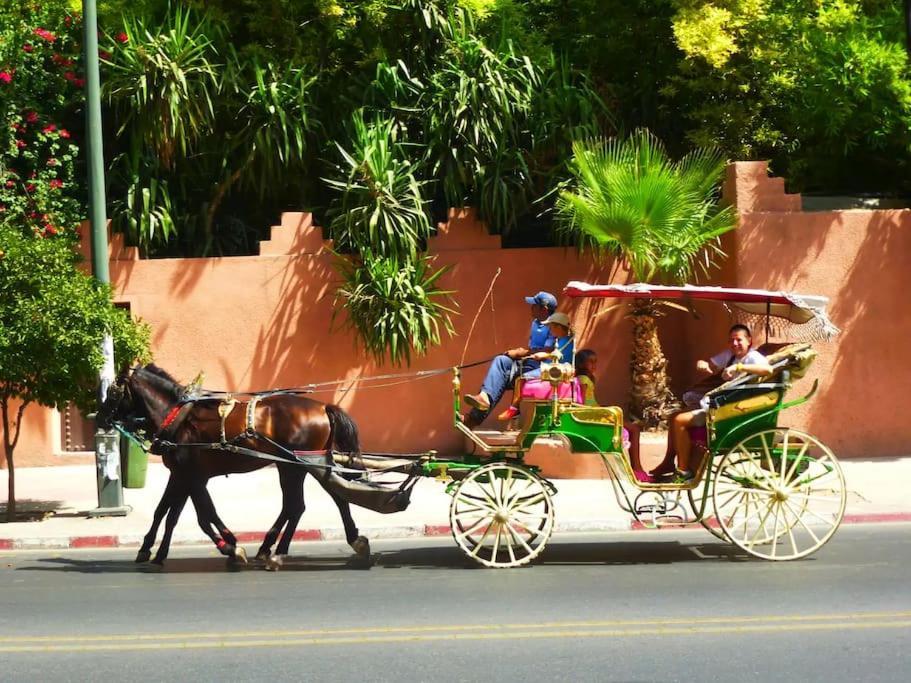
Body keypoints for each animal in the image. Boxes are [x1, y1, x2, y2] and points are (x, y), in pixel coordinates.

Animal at [98, 366, 368, 568]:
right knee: (332, 498)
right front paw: (152, 550)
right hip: (306, 465)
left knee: (297, 506)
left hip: (295, 467)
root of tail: (323, 407)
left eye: (112, 392)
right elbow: (166, 512)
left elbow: (204, 515)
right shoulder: (181, 475)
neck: (179, 419)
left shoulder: (192, 477)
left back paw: (278, 553)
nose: (99, 418)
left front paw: (231, 547)